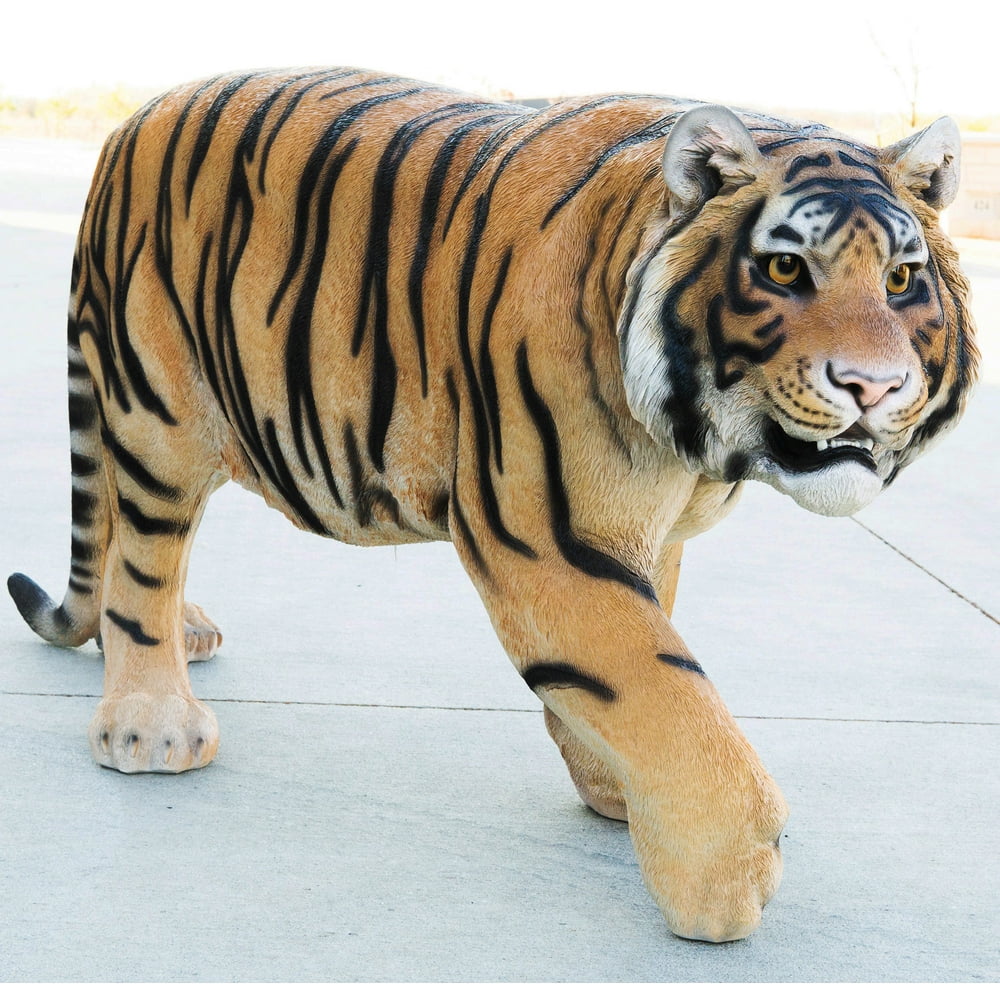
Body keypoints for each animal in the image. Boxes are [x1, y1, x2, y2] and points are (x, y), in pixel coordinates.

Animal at [6, 68, 978, 943]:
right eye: (784, 269)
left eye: (900, 281)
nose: (873, 386)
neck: (693, 447)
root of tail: (128, 123)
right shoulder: (544, 537)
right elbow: (666, 689)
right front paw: (724, 881)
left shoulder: (644, 533)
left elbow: (632, 675)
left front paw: (614, 789)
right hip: (159, 415)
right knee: (143, 557)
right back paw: (151, 725)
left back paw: (186, 633)